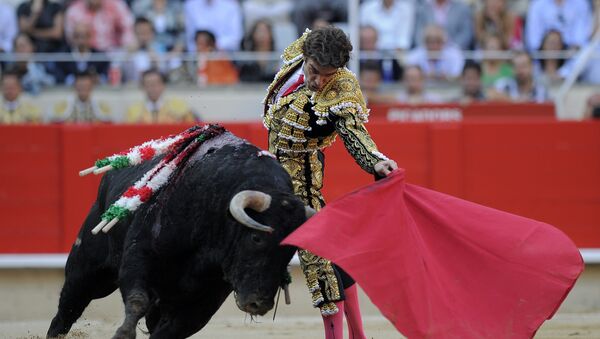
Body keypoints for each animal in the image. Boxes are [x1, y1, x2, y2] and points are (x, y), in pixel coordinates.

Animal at [45, 132, 314, 339]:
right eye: (256, 238)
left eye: (290, 251)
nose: (259, 303)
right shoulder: (139, 256)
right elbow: (137, 299)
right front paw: (122, 334)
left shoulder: (205, 300)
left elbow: (169, 331)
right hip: (88, 267)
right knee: (68, 307)